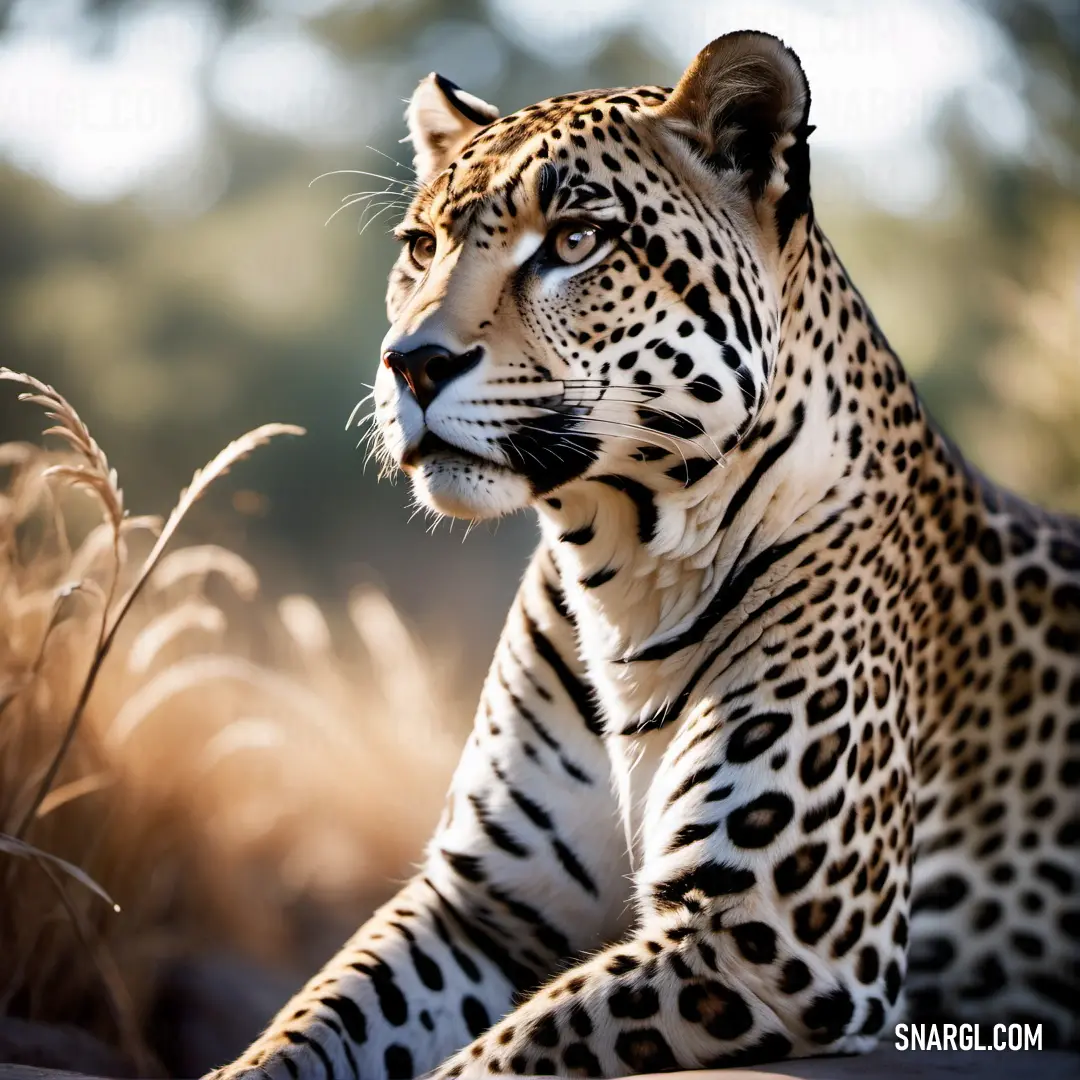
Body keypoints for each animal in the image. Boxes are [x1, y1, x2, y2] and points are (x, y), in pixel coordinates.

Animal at [210, 29, 1080, 1075]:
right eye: (421, 249)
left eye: (575, 243)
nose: (409, 364)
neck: (620, 561)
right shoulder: (480, 902)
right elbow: (316, 1018)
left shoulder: (772, 937)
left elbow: (508, 1048)